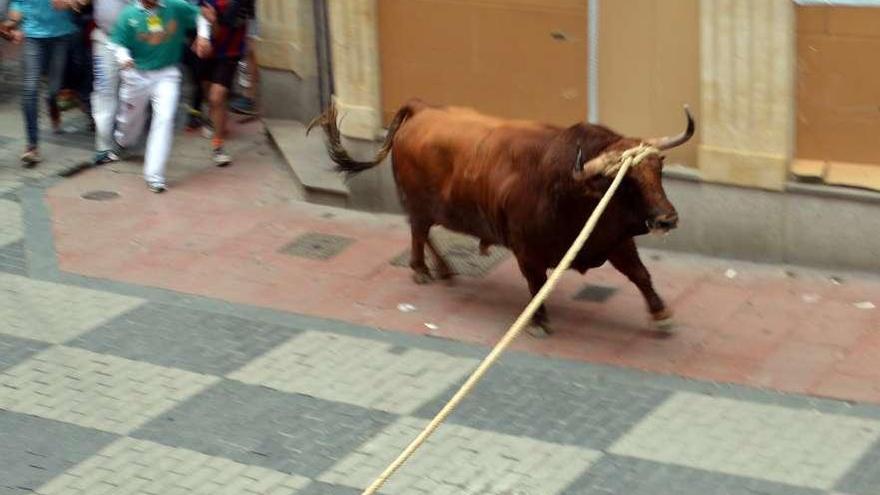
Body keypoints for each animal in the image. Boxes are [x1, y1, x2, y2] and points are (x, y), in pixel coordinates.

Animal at [310, 99, 696, 336]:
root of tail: (422, 108)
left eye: (657, 169)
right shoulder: (527, 251)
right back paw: (421, 270)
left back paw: (445, 269)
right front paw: (538, 322)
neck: (571, 190)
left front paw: (661, 315)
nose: (667, 218)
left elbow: (641, 275)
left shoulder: (616, 241)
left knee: (425, 232)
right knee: (418, 232)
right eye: (627, 181)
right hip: (419, 204)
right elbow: (536, 286)